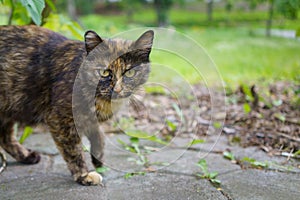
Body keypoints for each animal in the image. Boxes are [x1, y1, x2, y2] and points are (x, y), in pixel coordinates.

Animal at [0, 25, 154, 186]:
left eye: (130, 73)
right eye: (104, 72)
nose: (117, 90)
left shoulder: (88, 119)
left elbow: (98, 134)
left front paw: (98, 157)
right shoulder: (59, 120)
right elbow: (73, 150)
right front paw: (84, 175)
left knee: (5, 136)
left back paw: (26, 156)